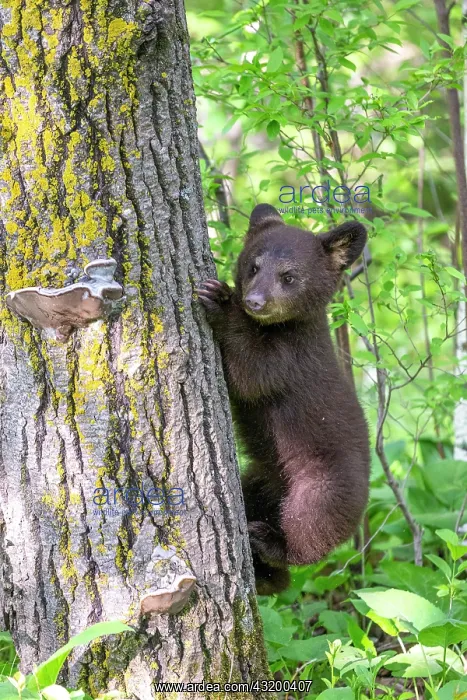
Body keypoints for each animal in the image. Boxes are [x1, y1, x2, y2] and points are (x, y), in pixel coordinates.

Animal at [197, 204, 370, 595]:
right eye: (254, 266)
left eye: (289, 277)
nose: (254, 301)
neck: (281, 326)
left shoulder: (291, 359)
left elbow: (250, 373)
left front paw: (221, 302)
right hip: (261, 479)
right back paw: (265, 574)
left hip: (321, 485)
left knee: (311, 531)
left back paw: (271, 545)